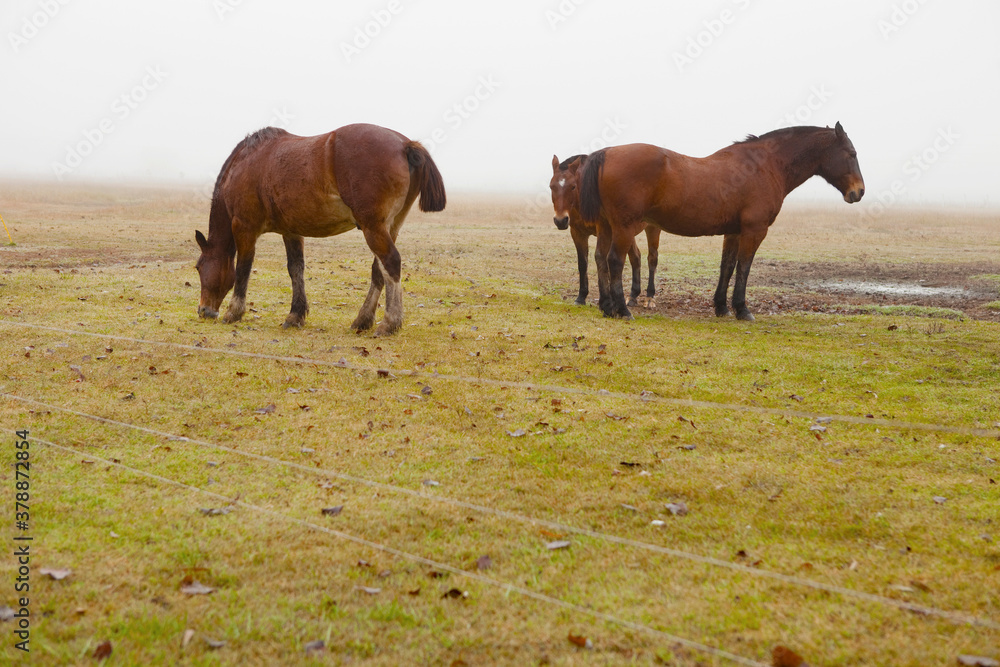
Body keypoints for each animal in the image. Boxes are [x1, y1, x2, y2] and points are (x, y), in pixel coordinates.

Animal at [194, 123, 446, 336]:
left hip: (373, 228)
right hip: (389, 227)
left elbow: (243, 269)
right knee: (379, 270)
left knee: (391, 263)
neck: (245, 163)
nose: (204, 311)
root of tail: (405, 144)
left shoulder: (244, 227)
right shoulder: (291, 231)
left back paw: (389, 323)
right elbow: (296, 269)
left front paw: (234, 312)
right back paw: (363, 320)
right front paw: (295, 315)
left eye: (198, 267)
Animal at [550, 154, 661, 307]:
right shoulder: (578, 233)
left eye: (573, 186)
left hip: (652, 228)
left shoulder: (605, 231)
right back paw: (633, 296)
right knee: (636, 257)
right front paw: (581, 297)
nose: (560, 220)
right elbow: (582, 263)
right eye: (551, 186)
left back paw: (650, 296)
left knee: (652, 258)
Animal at [578, 122, 864, 321]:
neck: (766, 165)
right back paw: (623, 310)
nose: (859, 192)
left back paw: (607, 307)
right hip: (624, 228)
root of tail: (606, 153)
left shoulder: (734, 232)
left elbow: (726, 266)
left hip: (608, 227)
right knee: (615, 261)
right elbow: (744, 267)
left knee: (601, 259)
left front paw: (721, 306)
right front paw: (742, 309)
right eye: (851, 153)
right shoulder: (754, 231)